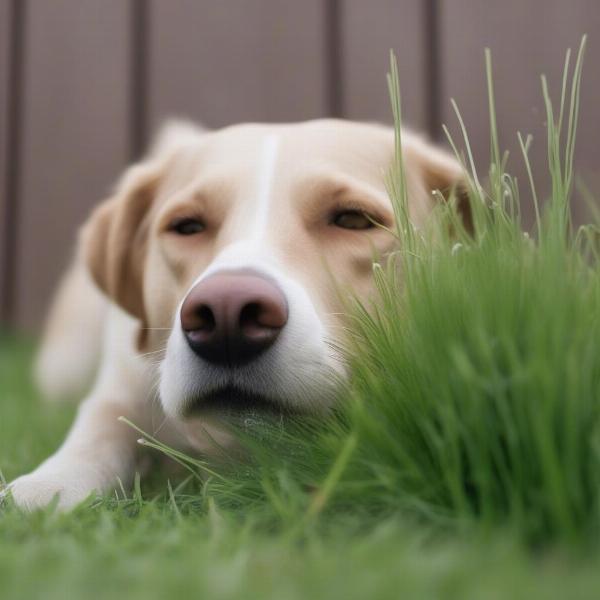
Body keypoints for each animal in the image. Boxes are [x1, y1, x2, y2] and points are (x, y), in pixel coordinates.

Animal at [4, 119, 464, 508]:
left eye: (352, 219)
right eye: (187, 226)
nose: (226, 316)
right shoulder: (121, 383)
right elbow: (98, 426)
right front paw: (48, 485)